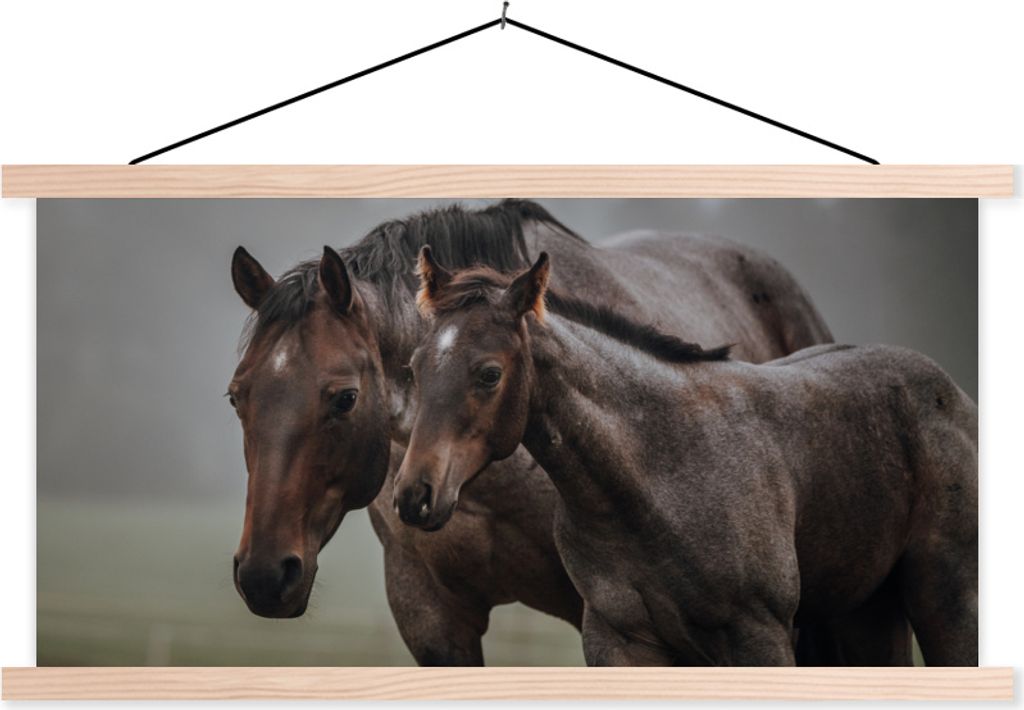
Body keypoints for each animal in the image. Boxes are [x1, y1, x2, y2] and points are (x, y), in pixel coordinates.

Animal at [395, 250, 978, 666]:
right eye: (415, 366)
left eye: (489, 373)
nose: (413, 496)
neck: (652, 476)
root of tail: (951, 393)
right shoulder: (618, 641)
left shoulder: (760, 636)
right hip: (867, 611)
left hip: (947, 598)